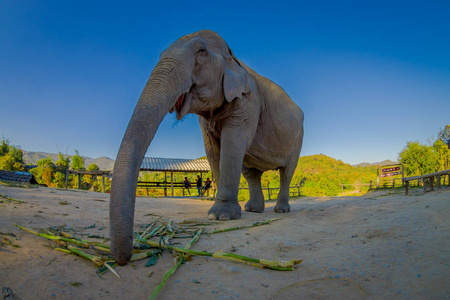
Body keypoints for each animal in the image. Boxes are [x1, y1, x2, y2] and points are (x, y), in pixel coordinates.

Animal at [110, 30, 304, 264]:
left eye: (201, 52)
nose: (123, 259)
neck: (234, 59)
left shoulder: (248, 102)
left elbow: (233, 143)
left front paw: (221, 216)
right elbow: (213, 151)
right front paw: (217, 214)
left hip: (298, 138)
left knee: (286, 173)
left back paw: (281, 211)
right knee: (251, 172)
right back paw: (253, 210)